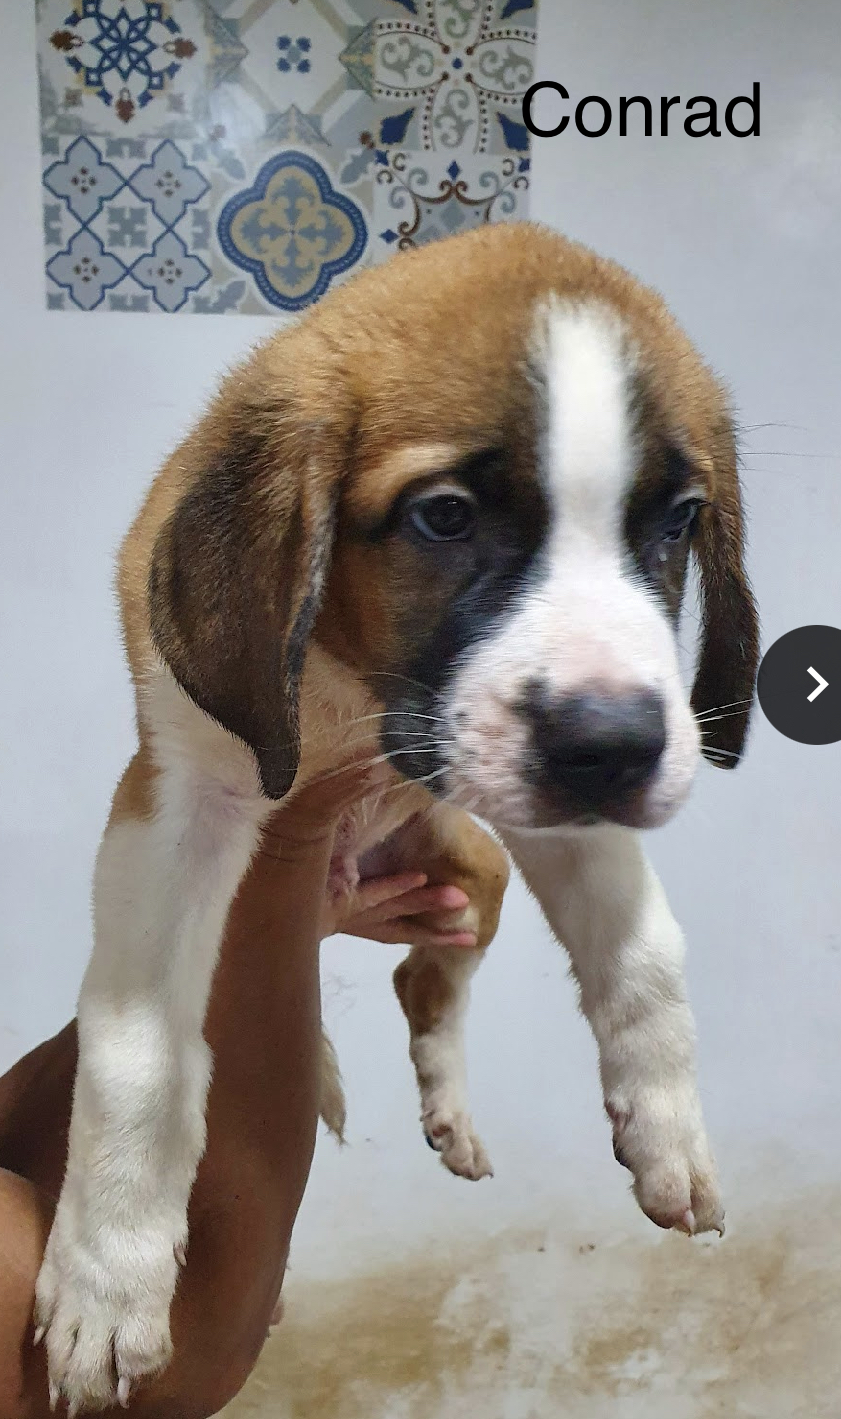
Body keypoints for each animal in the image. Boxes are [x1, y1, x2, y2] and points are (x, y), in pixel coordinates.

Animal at [32, 221, 760, 1407]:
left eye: (678, 523)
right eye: (444, 517)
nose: (612, 748)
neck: (355, 692)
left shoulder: (556, 806)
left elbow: (646, 953)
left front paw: (666, 1130)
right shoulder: (178, 806)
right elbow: (140, 1048)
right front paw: (108, 1277)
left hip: (476, 865)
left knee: (427, 979)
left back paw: (449, 1108)